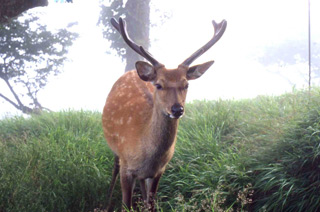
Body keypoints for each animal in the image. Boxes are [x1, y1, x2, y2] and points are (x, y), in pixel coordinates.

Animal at [101, 16, 226, 210]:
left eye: (186, 84)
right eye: (159, 85)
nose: (177, 109)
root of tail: (132, 71)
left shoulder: (159, 170)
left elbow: (151, 204)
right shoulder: (126, 166)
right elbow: (126, 205)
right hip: (116, 151)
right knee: (114, 169)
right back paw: (107, 203)